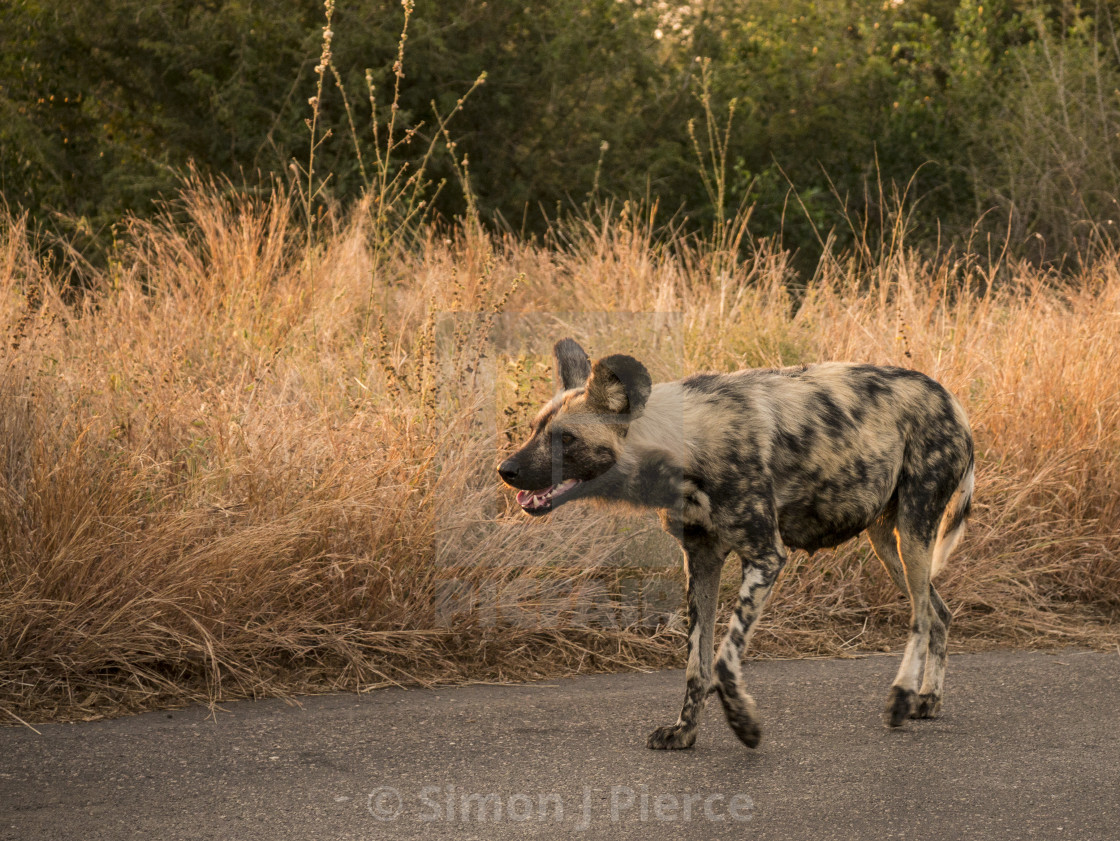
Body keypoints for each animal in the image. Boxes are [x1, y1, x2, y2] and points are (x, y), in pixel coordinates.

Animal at [499, 338, 972, 752]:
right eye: (535, 430)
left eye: (566, 439)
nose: (506, 470)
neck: (683, 446)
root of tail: (951, 400)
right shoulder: (701, 560)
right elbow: (696, 663)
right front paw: (684, 732)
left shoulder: (765, 557)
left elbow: (724, 660)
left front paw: (744, 725)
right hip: (887, 543)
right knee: (938, 612)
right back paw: (926, 700)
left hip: (914, 529)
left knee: (921, 617)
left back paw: (901, 699)